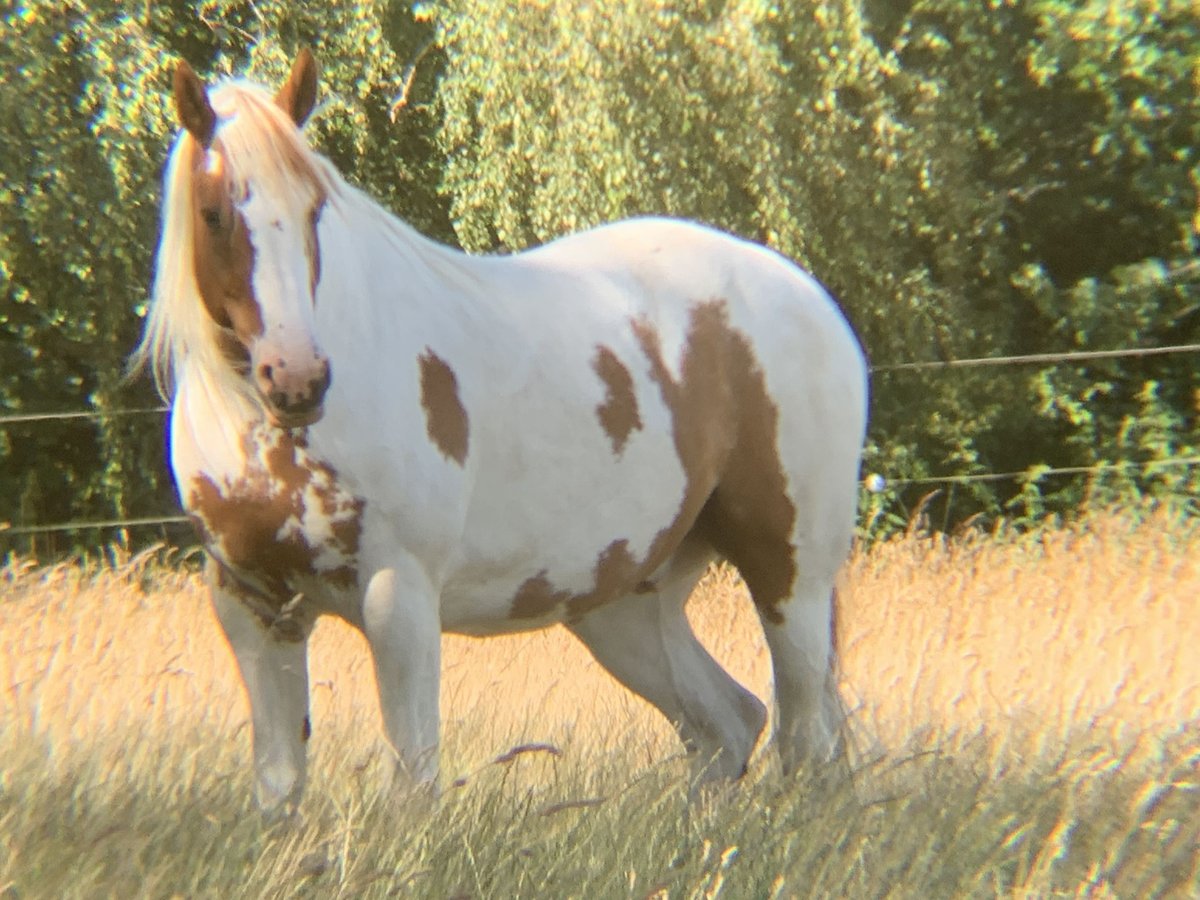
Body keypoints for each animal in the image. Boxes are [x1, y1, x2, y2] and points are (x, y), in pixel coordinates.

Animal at [135, 49, 869, 814]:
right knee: (729, 723)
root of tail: (807, 295)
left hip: (789, 574)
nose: (298, 378)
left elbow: (412, 784)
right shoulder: (253, 606)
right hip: (624, 604)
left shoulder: (399, 596)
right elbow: (279, 789)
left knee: (806, 739)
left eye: (313, 210)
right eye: (214, 213)